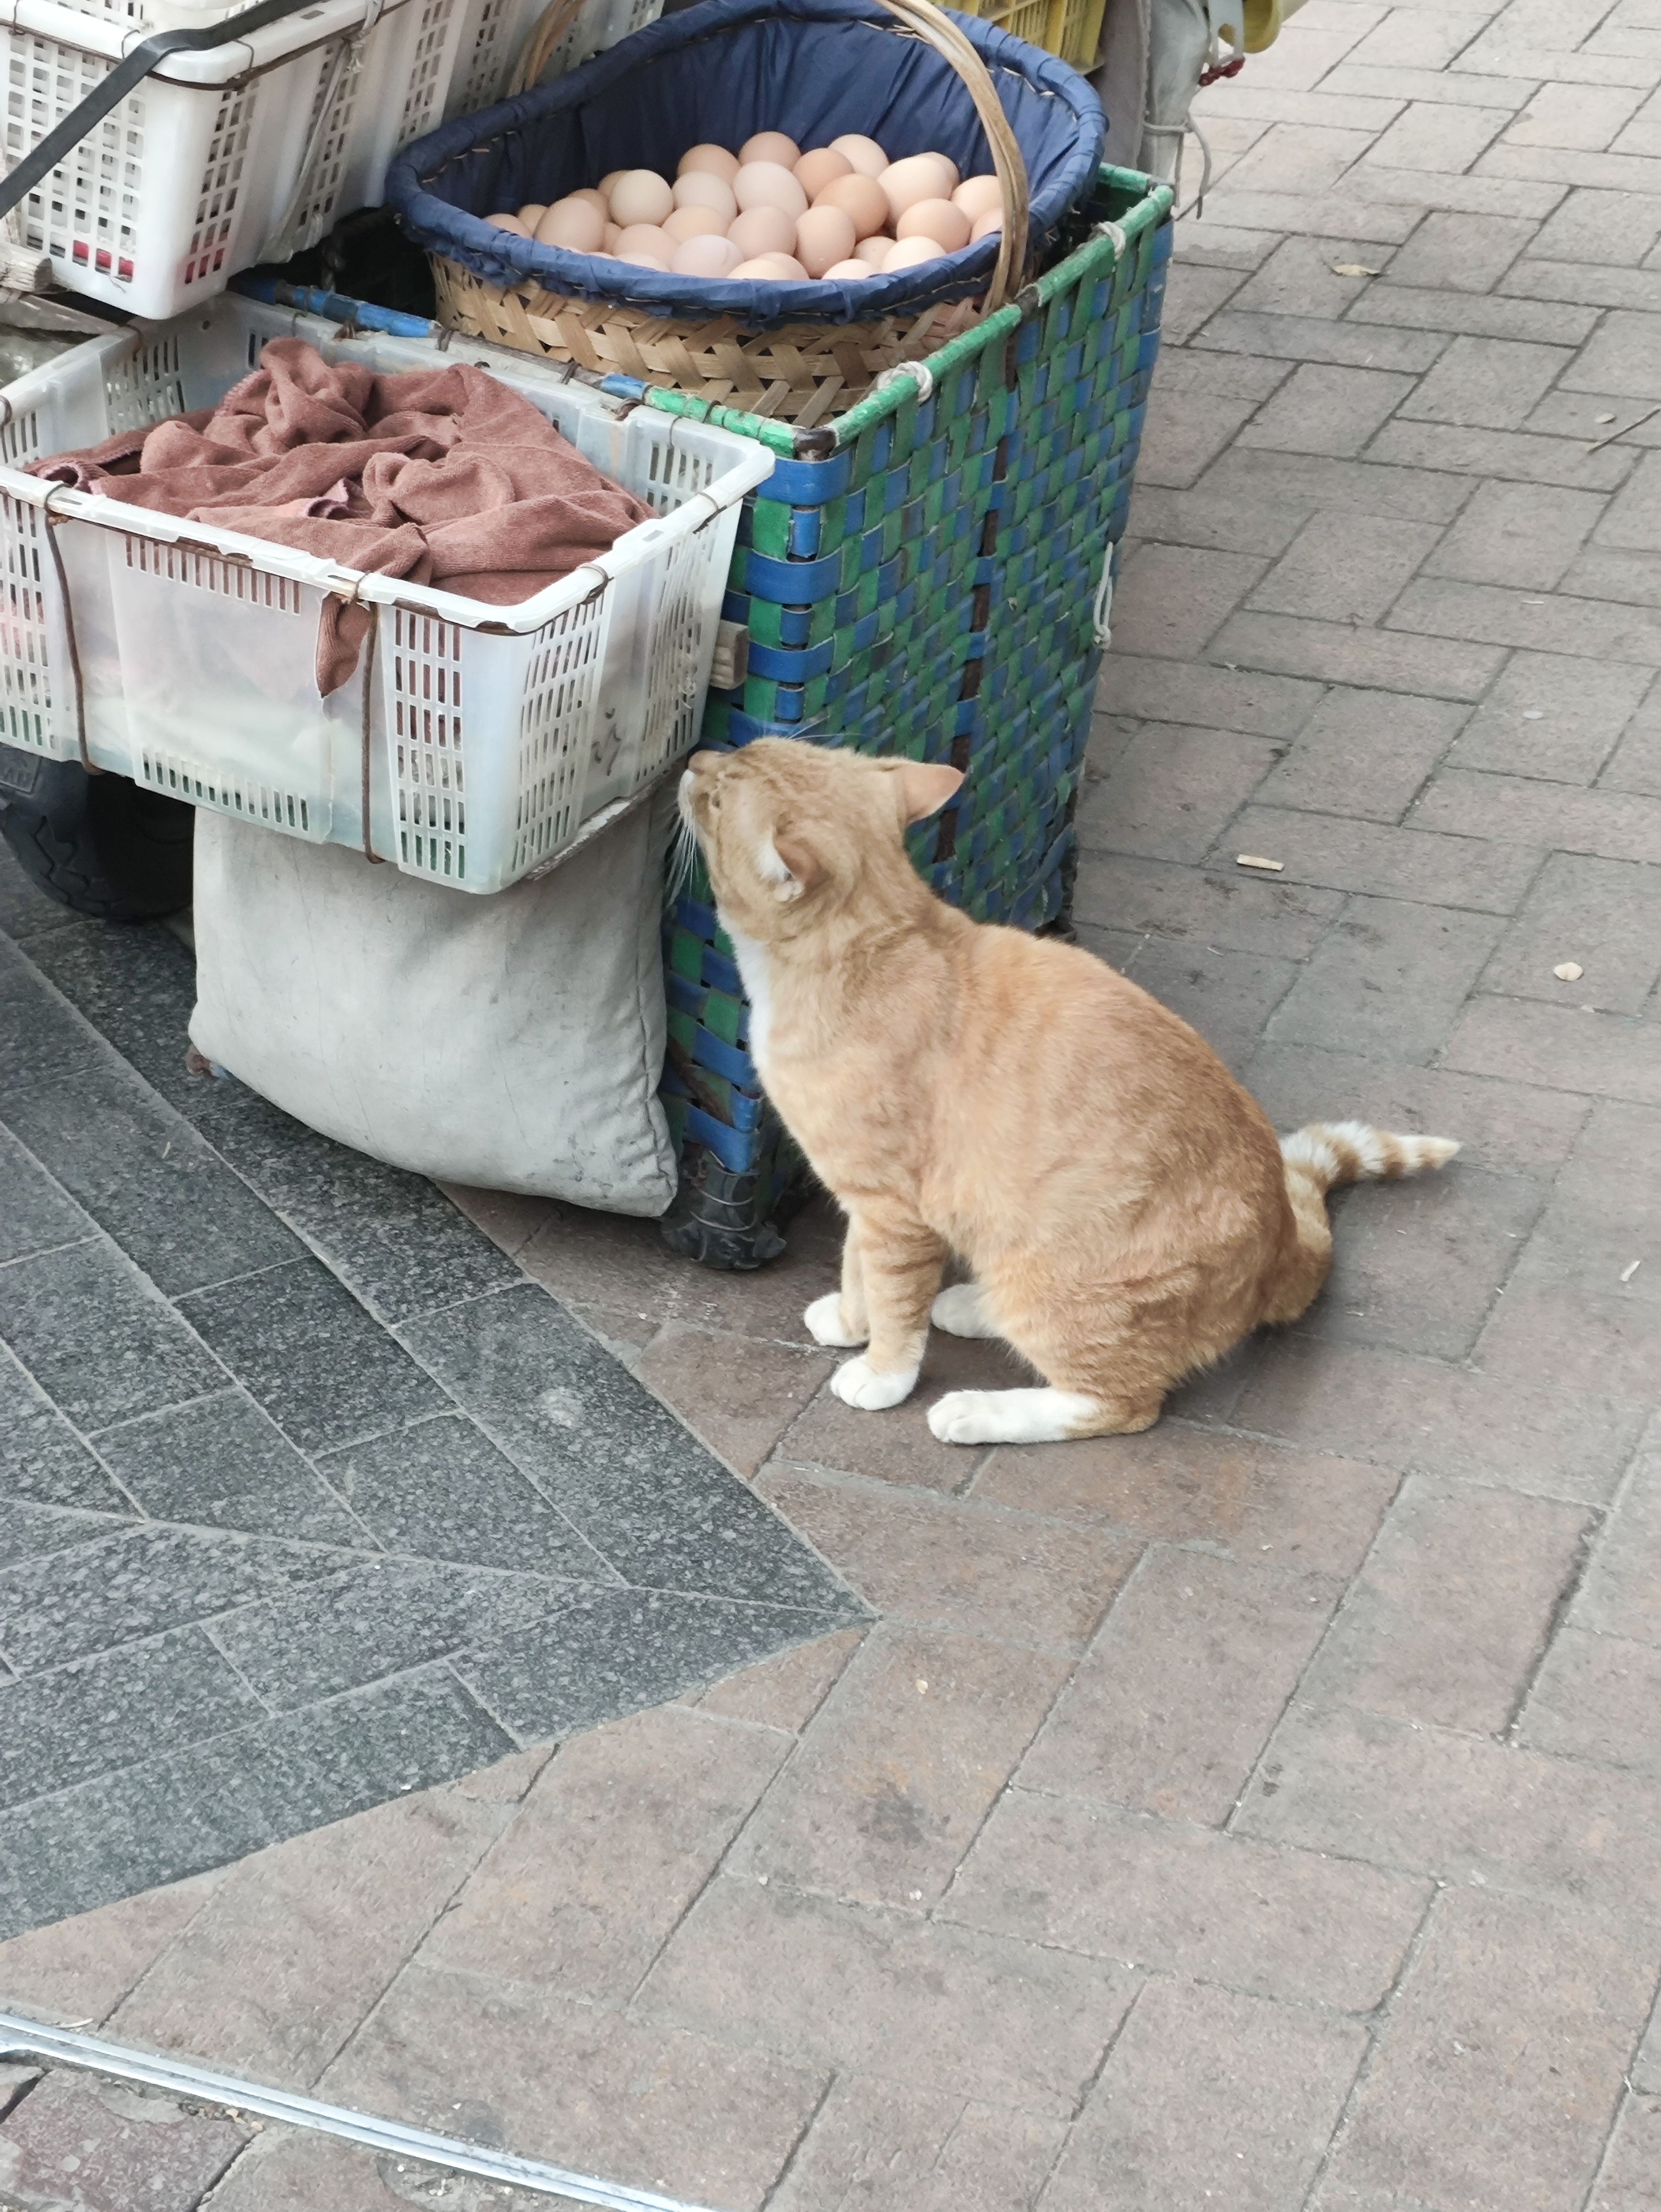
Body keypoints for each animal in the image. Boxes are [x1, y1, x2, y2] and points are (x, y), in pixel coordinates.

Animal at [679, 737, 1458, 1446]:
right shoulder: (866, 1202)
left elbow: (893, 1299)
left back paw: (977, 1411)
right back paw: (973, 1306)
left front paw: (882, 1371)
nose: (695, 758)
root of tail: (1285, 1244)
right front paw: (850, 1319)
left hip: (1064, 1290)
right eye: (744, 748)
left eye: (717, 798)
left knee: (1119, 1403)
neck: (871, 946)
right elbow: (857, 1270)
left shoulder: (893, 1210)